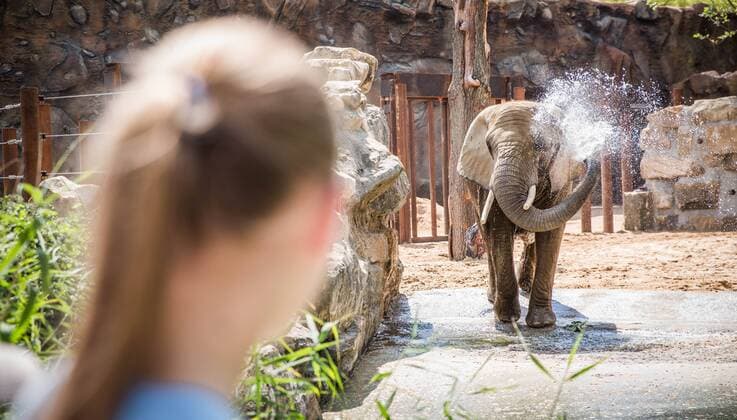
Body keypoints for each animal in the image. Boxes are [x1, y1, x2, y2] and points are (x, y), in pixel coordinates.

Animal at [457, 101, 600, 328]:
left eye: (540, 146)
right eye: (489, 146)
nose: (588, 155)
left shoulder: (560, 180)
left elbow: (550, 233)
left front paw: (542, 323)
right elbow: (499, 230)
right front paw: (507, 319)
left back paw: (526, 287)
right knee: (488, 238)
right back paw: (493, 296)